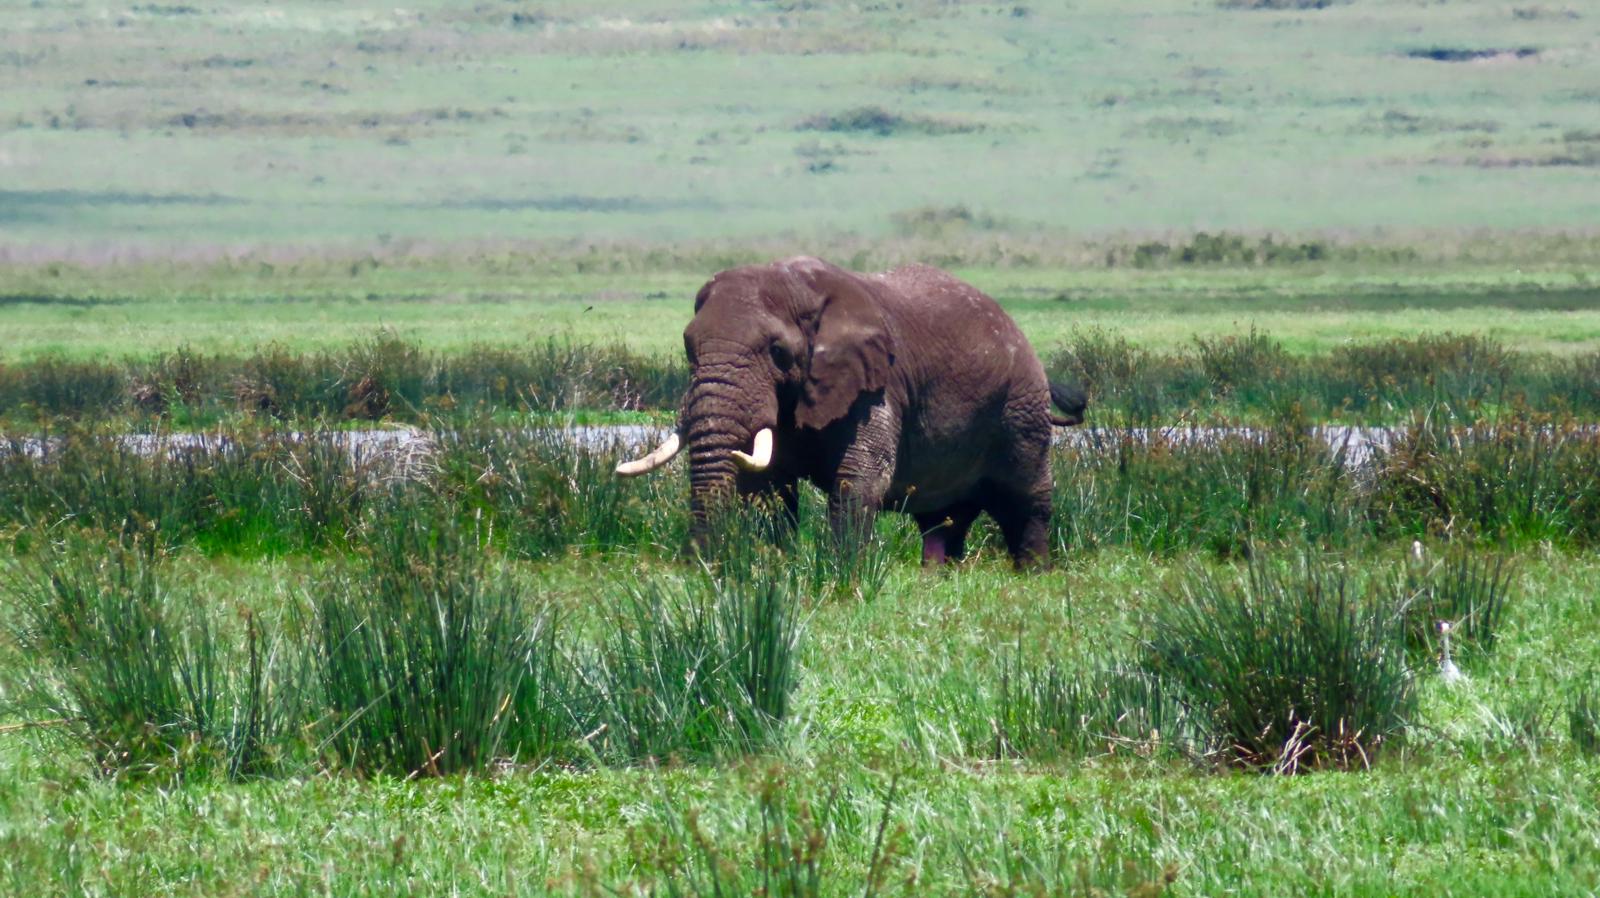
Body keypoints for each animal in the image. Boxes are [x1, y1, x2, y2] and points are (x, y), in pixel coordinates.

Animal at [615, 256, 1087, 569]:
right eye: (688, 347)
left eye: (777, 352)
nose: (695, 562)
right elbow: (769, 486)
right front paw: (770, 566)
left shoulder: (875, 384)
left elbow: (860, 476)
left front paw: (844, 574)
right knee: (944, 521)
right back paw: (938, 574)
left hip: (1020, 410)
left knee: (1025, 499)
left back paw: (1033, 573)